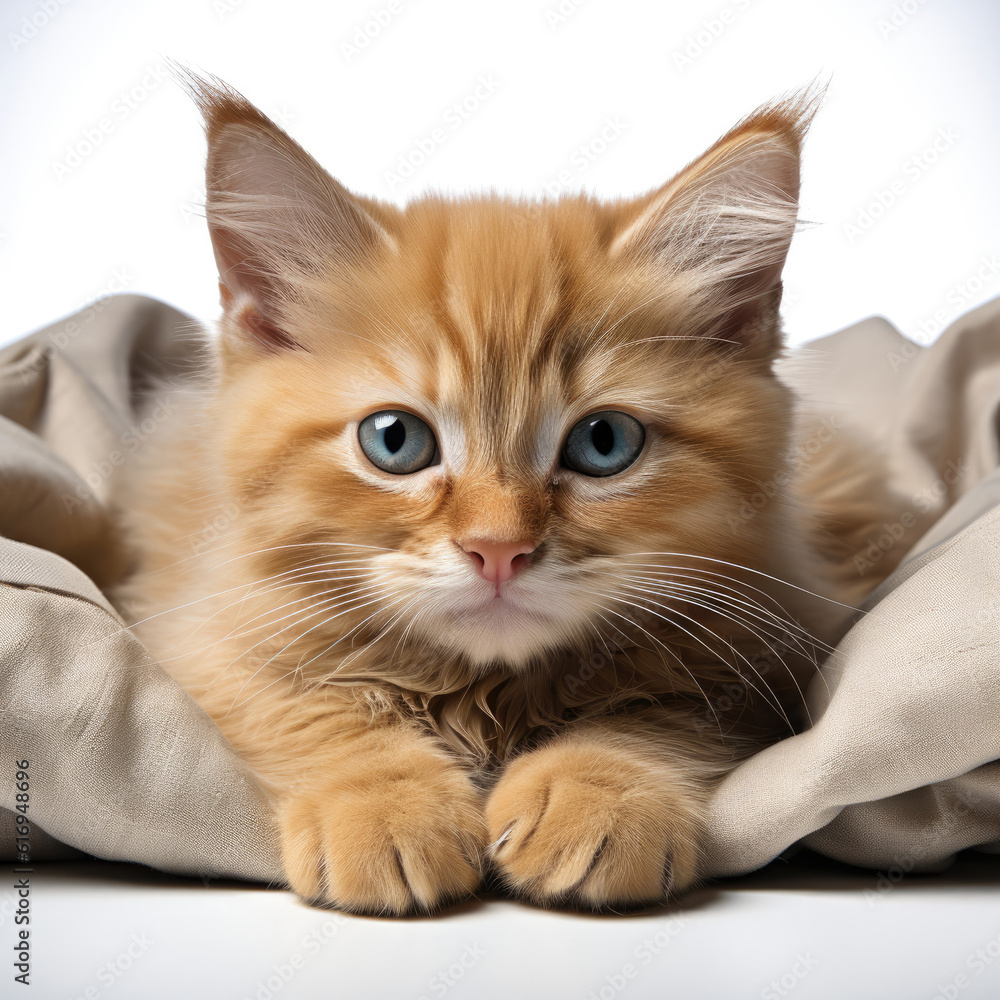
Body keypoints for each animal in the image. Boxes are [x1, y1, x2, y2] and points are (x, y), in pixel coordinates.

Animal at [115, 76, 892, 916]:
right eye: (395, 441)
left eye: (604, 443)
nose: (498, 550)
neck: (487, 692)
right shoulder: (203, 630)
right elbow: (305, 707)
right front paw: (384, 802)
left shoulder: (772, 644)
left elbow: (664, 713)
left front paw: (596, 792)